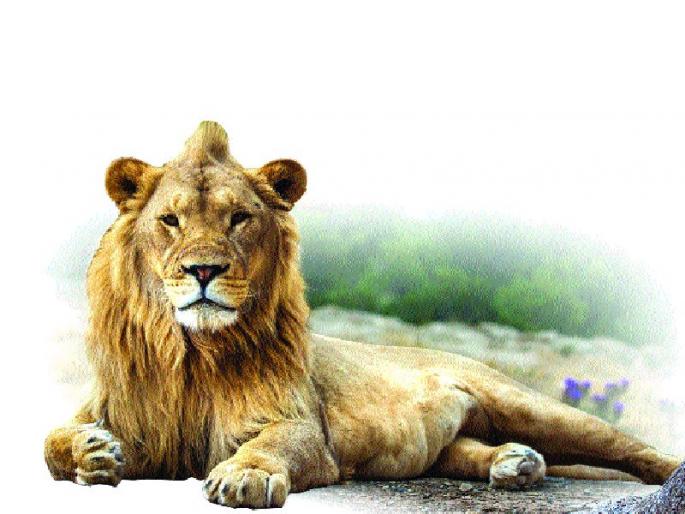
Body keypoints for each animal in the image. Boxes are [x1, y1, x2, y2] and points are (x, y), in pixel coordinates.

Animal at [45, 121, 681, 508]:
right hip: (445, 446)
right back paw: (514, 463)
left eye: (239, 219)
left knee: (636, 450)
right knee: (467, 452)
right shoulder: (128, 415)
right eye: (170, 221)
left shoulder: (303, 425)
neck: (193, 354)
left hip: (531, 405)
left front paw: (246, 473)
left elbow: (275, 443)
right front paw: (92, 454)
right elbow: (51, 441)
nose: (203, 270)